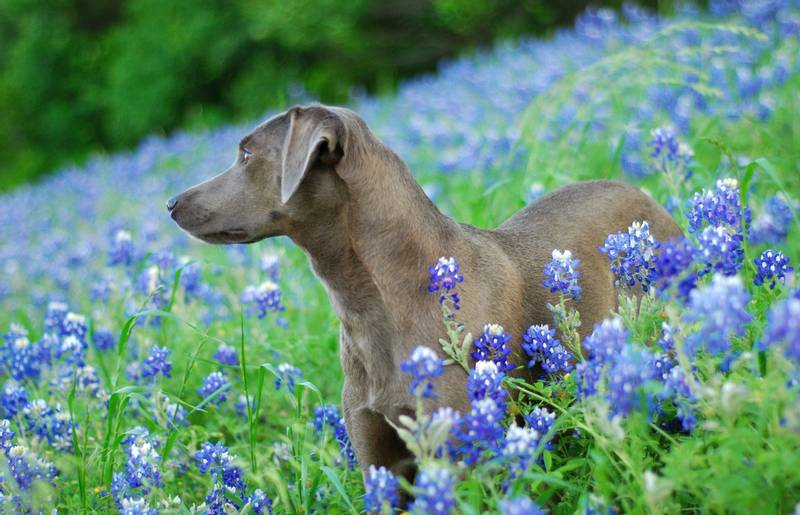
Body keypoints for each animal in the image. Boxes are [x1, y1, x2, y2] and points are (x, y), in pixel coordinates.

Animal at [169, 104, 680, 484]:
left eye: (247, 154)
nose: (171, 203)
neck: (371, 300)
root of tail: (648, 198)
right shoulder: (377, 452)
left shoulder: (457, 440)